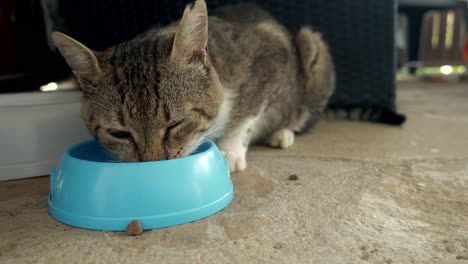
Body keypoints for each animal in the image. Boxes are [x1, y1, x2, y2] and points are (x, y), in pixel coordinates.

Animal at [52, 0, 336, 172]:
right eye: (119, 134)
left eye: (175, 124)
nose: (154, 165)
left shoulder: (270, 57)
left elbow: (246, 118)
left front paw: (230, 151)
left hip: (311, 49)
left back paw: (282, 133)